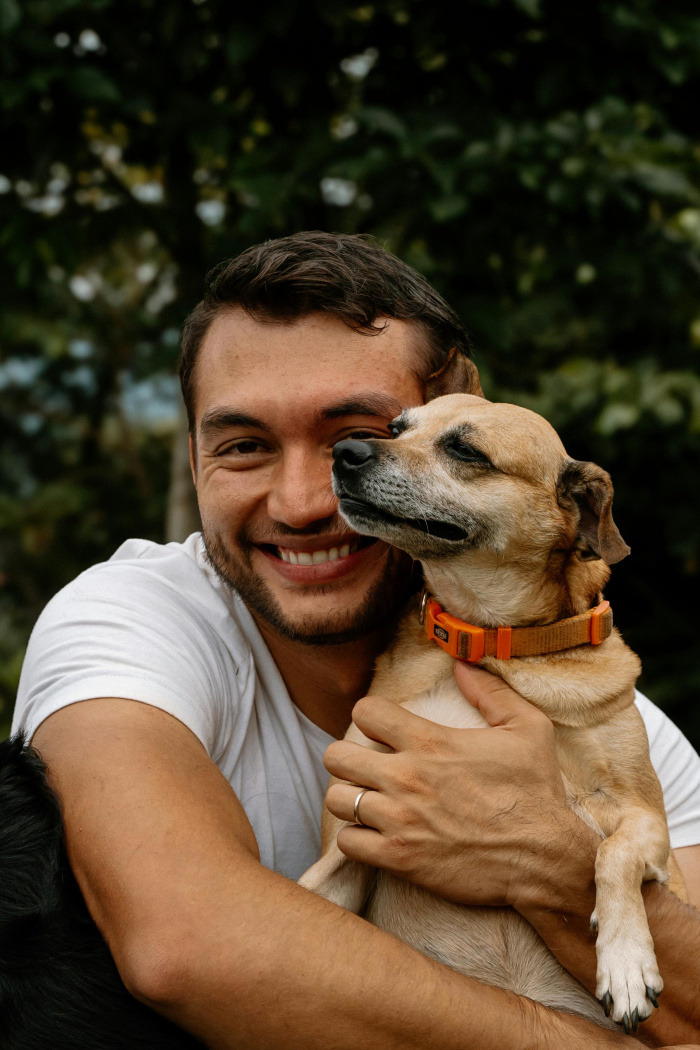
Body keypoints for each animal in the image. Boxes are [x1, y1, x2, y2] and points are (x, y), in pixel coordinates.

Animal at [298, 394, 688, 1033]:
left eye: (465, 449)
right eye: (395, 428)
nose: (345, 450)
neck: (484, 640)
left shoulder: (645, 818)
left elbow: (612, 853)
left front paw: (627, 961)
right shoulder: (351, 841)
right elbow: (312, 886)